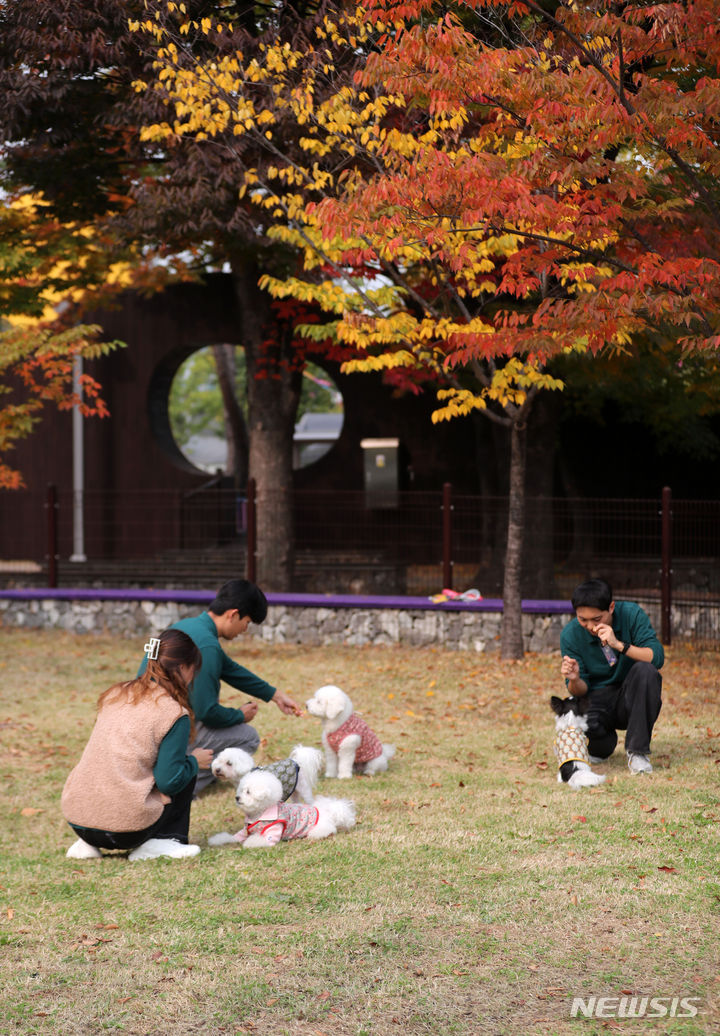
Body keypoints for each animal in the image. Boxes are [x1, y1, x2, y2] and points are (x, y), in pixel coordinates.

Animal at [207, 770, 356, 849]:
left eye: (248, 792)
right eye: (241, 790)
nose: (237, 798)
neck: (259, 814)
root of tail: (329, 811)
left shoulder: (271, 834)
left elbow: (257, 839)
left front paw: (248, 843)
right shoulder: (244, 831)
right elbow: (231, 837)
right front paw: (216, 840)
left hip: (320, 827)